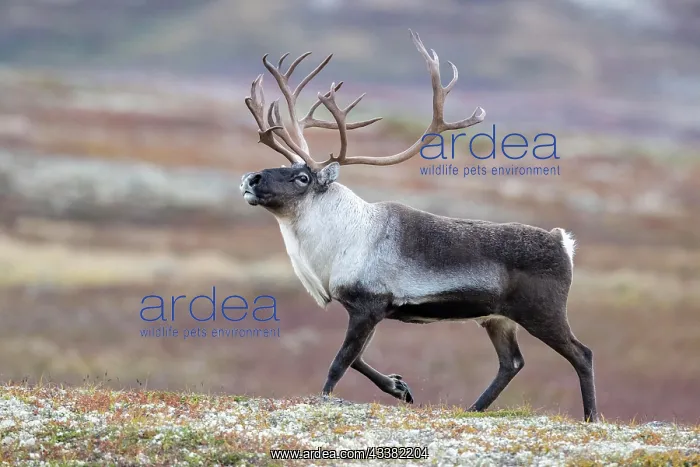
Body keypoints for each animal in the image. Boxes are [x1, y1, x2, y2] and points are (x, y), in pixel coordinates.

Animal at [239, 29, 599, 422]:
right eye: (286, 166)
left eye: (302, 177)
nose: (251, 178)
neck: (340, 239)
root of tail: (562, 242)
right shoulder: (370, 312)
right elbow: (358, 359)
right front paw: (399, 386)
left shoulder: (368, 306)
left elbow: (340, 362)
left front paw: (325, 399)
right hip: (497, 318)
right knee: (512, 362)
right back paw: (473, 409)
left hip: (542, 312)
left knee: (582, 353)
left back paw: (591, 416)